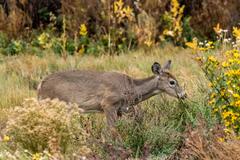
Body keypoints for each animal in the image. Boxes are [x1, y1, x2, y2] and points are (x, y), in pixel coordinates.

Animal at [37, 59, 188, 132]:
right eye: (172, 82)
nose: (184, 95)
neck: (131, 88)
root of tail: (40, 86)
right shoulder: (108, 104)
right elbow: (112, 130)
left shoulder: (120, 110)